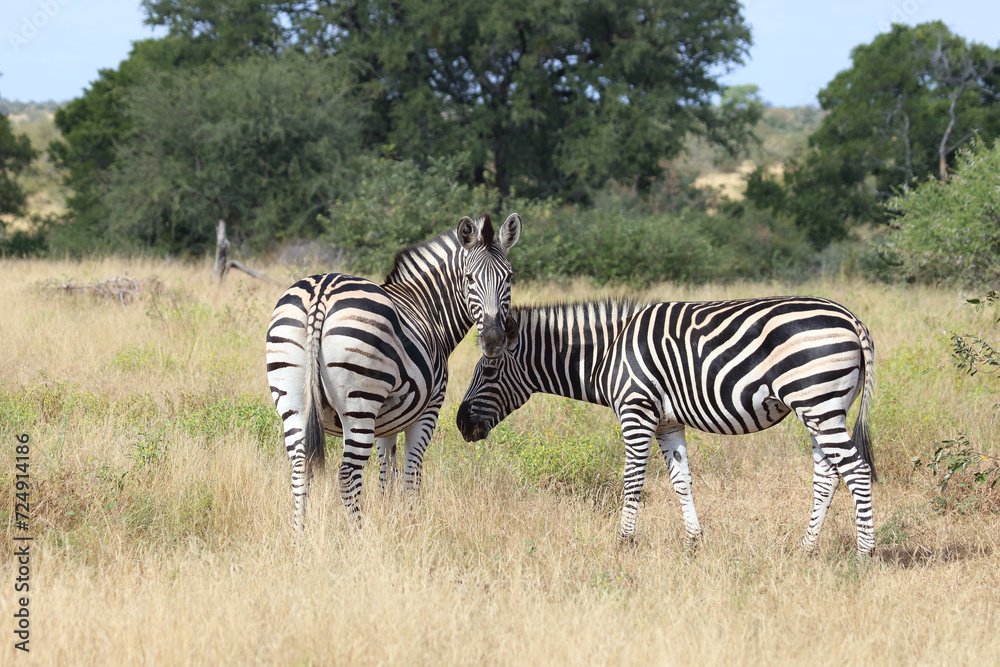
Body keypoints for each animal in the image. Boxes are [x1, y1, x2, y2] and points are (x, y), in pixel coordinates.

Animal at [267, 213, 522, 537]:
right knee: (347, 475)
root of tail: (321, 293)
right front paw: (413, 524)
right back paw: (359, 537)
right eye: (469, 279)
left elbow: (387, 472)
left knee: (301, 468)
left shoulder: (386, 423)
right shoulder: (428, 411)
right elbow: (411, 474)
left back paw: (298, 537)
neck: (429, 309)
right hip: (360, 403)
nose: (492, 341)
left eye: (508, 277)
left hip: (293, 400)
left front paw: (392, 518)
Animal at [456, 296, 877, 559]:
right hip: (823, 409)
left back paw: (865, 554)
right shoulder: (667, 424)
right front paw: (694, 542)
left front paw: (624, 542)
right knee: (827, 476)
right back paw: (806, 549)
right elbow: (681, 481)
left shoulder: (636, 412)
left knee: (856, 471)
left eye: (489, 370)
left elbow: (633, 480)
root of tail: (851, 319)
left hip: (817, 401)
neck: (608, 354)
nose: (461, 423)